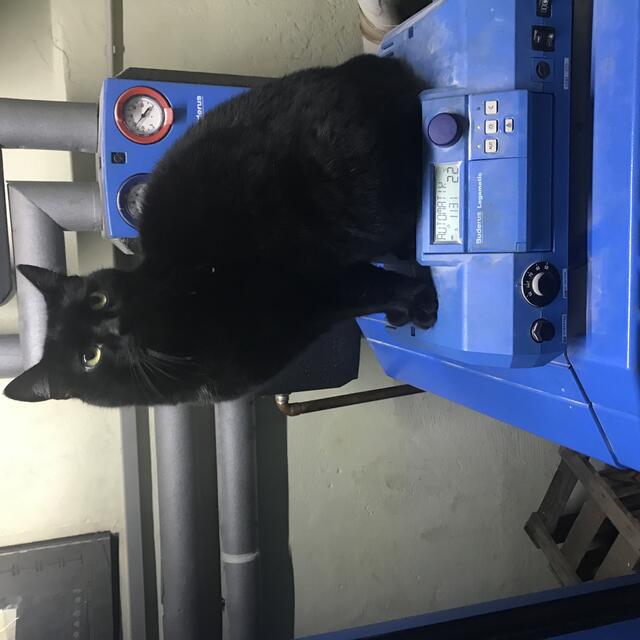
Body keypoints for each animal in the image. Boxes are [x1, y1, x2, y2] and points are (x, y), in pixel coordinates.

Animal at [4, 55, 437, 407]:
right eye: (89, 358)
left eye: (98, 299)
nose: (115, 325)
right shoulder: (312, 301)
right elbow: (369, 293)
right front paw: (410, 304)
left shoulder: (311, 284)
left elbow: (370, 291)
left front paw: (418, 301)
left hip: (363, 201)